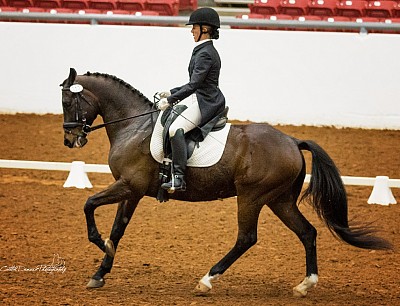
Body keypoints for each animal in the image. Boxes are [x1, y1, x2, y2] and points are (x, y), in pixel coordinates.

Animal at [61, 68, 392, 296]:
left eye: (67, 101)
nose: (69, 140)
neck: (134, 126)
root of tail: (292, 141)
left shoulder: (130, 185)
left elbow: (88, 204)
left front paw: (100, 245)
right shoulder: (132, 191)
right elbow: (118, 229)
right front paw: (101, 271)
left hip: (252, 197)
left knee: (247, 238)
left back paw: (207, 280)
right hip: (279, 200)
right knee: (307, 232)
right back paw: (305, 285)